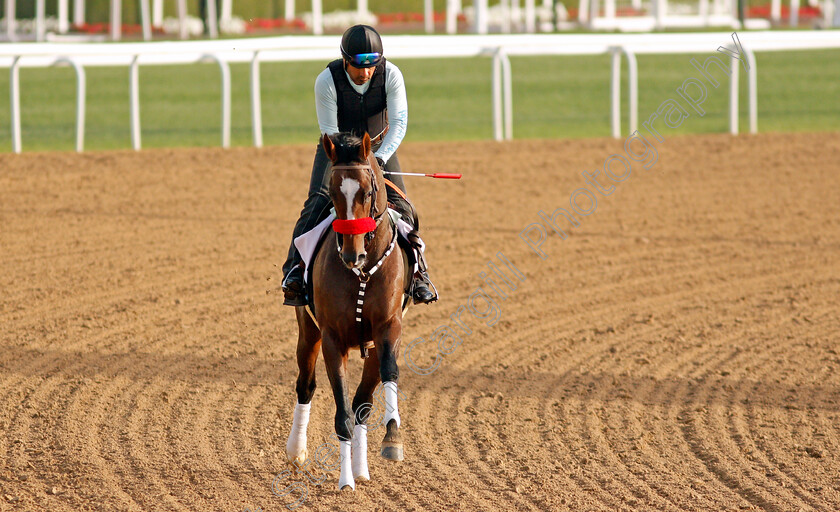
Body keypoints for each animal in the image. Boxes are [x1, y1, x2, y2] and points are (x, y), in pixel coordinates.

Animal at [286, 130, 410, 490]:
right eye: (332, 191)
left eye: (367, 192)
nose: (352, 255)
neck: (363, 271)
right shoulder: (332, 339)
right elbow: (341, 410)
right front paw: (344, 480)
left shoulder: (387, 329)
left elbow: (384, 379)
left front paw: (392, 438)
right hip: (307, 331)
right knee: (306, 386)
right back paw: (296, 451)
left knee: (362, 405)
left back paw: (361, 467)